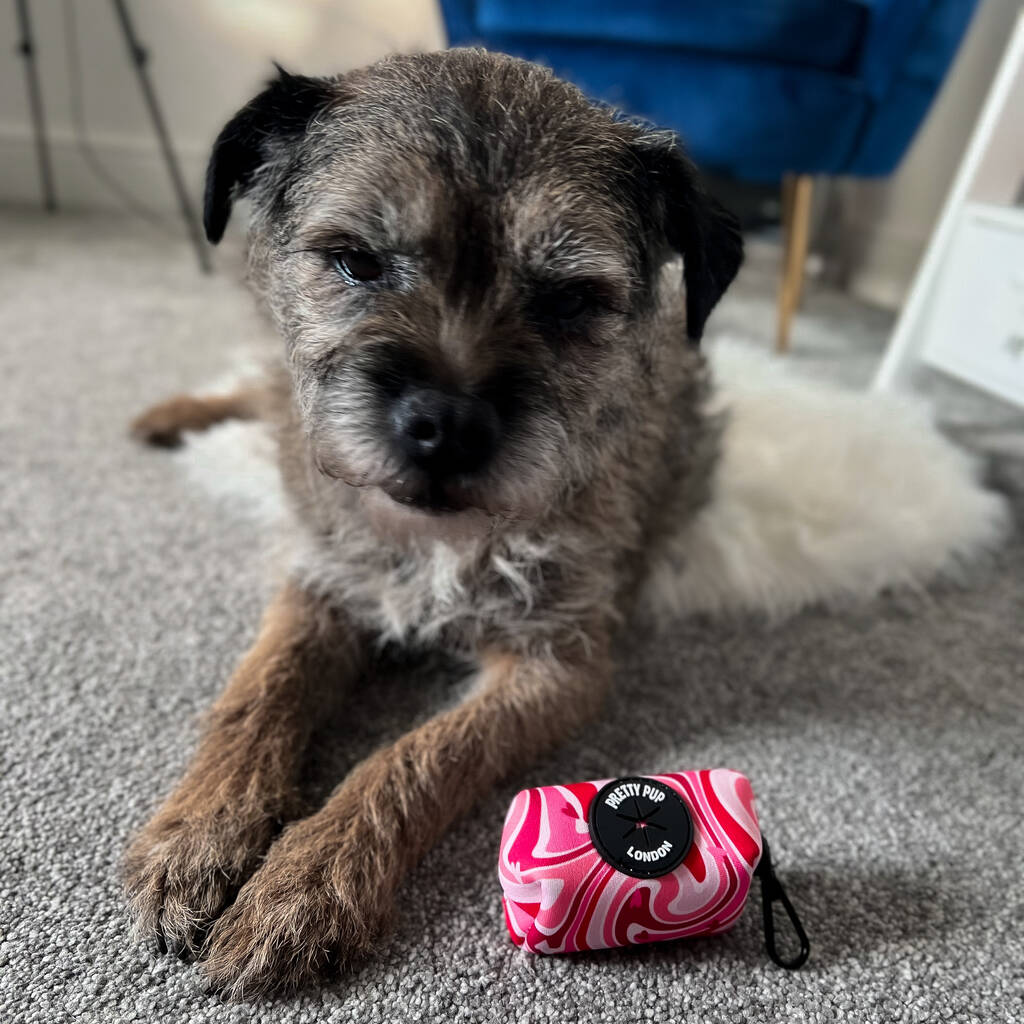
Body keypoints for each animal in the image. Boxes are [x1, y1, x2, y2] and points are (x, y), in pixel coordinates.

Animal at [123, 49, 741, 999]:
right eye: (355, 260)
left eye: (569, 299)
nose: (447, 424)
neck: (439, 540)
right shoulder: (320, 583)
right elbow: (257, 694)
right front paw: (200, 832)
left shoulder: (556, 666)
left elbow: (414, 757)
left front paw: (306, 882)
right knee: (256, 389)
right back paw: (173, 415)